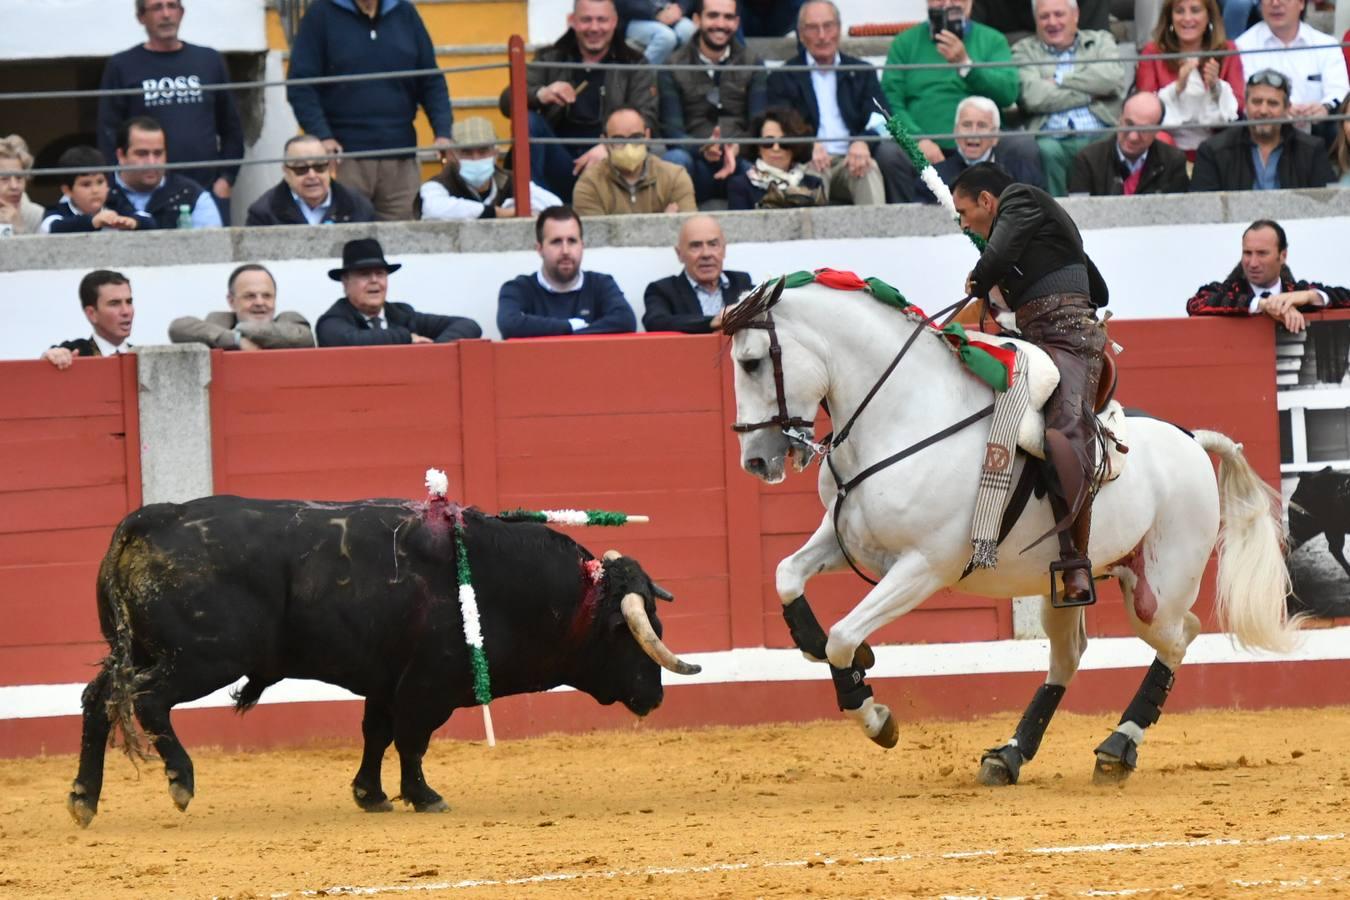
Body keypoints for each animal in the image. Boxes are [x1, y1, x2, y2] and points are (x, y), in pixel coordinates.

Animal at [65, 496, 696, 825]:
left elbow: (376, 734)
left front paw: (370, 795)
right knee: (146, 699)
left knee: (98, 699)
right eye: (635, 635)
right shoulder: (428, 687)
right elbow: (412, 742)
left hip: (142, 652)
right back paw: (180, 781)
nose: (656, 695)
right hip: (200, 659)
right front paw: (423, 796)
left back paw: (82, 800)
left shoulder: (386, 682)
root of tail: (154, 517)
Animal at [723, 277, 1301, 782]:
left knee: (1181, 637)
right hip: (1067, 585)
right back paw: (1011, 754)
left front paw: (876, 718)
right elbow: (786, 575)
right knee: (1071, 656)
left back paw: (1117, 747)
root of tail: (1192, 439)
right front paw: (814, 644)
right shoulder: (848, 538)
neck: (905, 416)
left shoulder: (924, 567)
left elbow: (845, 635)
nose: (755, 461)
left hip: (1158, 589)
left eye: (751, 362)